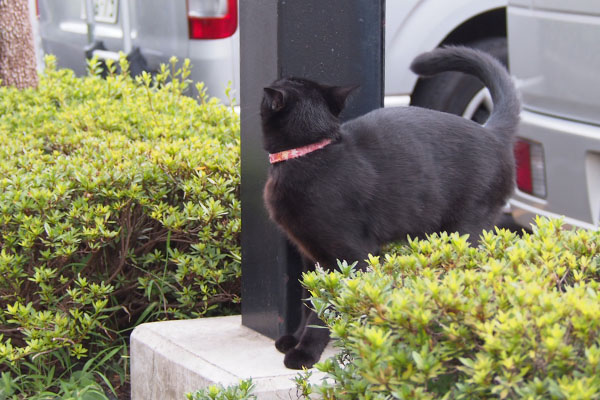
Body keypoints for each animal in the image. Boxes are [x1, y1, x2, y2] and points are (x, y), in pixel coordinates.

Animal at [262, 46, 520, 368]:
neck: (311, 154)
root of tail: (492, 132)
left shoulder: (348, 255)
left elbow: (328, 306)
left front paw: (305, 352)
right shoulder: (310, 255)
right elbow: (309, 299)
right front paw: (294, 339)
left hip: (464, 233)